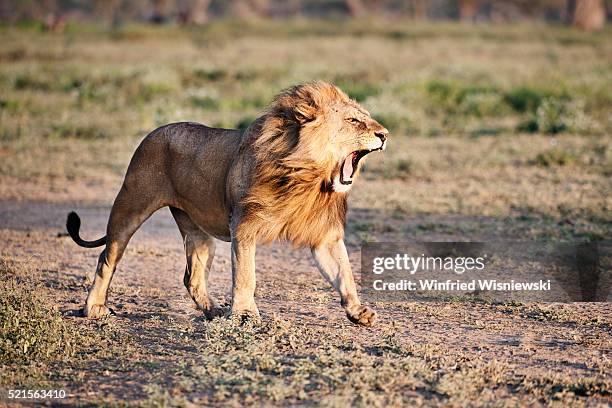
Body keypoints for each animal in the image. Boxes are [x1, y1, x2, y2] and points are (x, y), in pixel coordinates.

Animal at [67, 81, 388, 326]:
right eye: (353, 121)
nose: (384, 135)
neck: (306, 178)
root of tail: (155, 130)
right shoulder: (244, 226)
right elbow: (246, 275)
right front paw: (245, 314)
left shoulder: (324, 236)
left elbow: (344, 273)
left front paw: (358, 311)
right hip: (130, 205)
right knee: (107, 258)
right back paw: (93, 308)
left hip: (197, 231)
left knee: (192, 277)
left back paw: (214, 311)